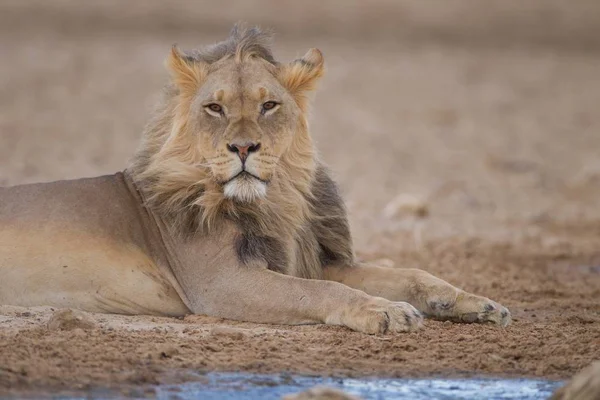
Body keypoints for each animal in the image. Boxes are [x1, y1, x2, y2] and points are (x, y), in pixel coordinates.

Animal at [0, 25, 510, 334]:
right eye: (215, 108)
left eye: (268, 106)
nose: (243, 148)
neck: (275, 202)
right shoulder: (221, 282)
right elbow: (322, 291)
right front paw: (382, 310)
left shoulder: (308, 259)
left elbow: (410, 274)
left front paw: (475, 302)